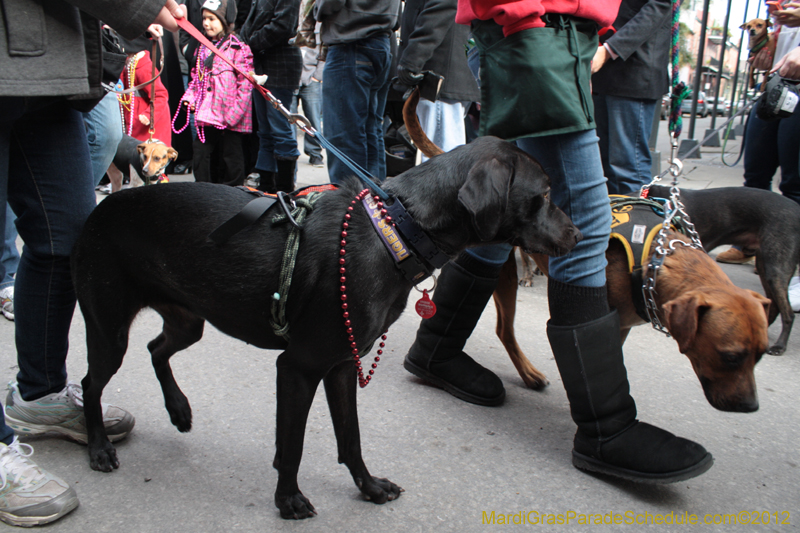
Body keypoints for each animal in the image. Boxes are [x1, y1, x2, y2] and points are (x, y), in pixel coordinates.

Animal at [70, 136, 580, 516]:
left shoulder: (340, 366)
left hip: (187, 319)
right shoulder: (298, 367)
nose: (578, 234)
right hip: (110, 329)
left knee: (156, 348)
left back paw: (178, 409)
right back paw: (98, 448)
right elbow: (292, 444)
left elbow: (350, 437)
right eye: (544, 194)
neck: (395, 229)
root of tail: (99, 210)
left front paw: (368, 487)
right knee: (91, 383)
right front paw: (289, 500)